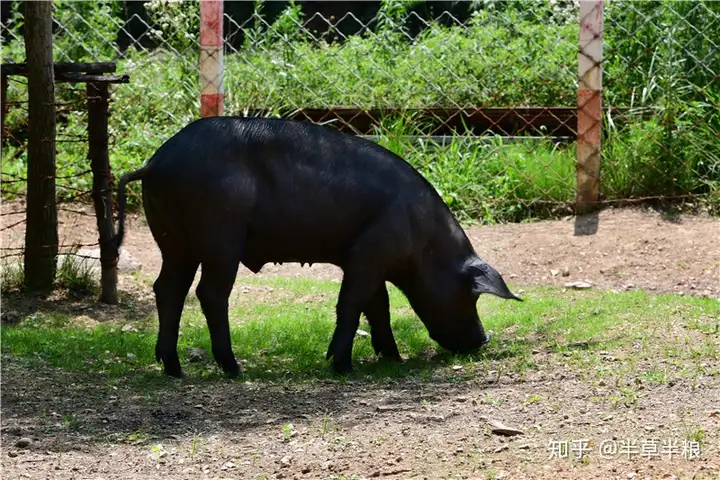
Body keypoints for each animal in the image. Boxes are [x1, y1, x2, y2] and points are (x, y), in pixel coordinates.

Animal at [115, 117, 520, 378]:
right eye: (471, 295)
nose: (483, 338)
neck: (426, 243)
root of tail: (155, 163)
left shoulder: (370, 260)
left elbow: (379, 307)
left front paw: (393, 358)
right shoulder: (369, 253)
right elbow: (352, 305)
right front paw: (341, 366)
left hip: (172, 241)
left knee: (167, 288)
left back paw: (174, 369)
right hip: (220, 237)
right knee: (210, 293)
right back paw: (234, 368)